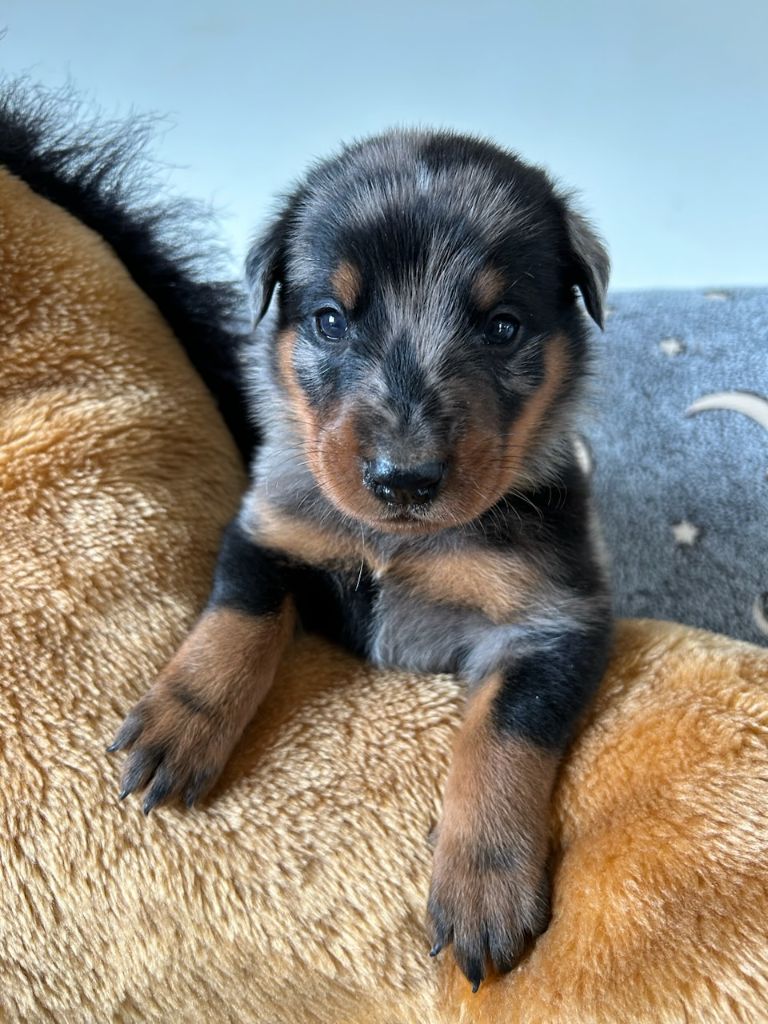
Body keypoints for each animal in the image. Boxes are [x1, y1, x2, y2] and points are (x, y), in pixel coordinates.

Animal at [109, 130, 612, 991]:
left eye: (503, 327)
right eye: (329, 320)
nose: (403, 479)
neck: (397, 545)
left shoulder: (554, 622)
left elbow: (502, 735)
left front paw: (482, 886)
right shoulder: (270, 531)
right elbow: (239, 620)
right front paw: (180, 723)